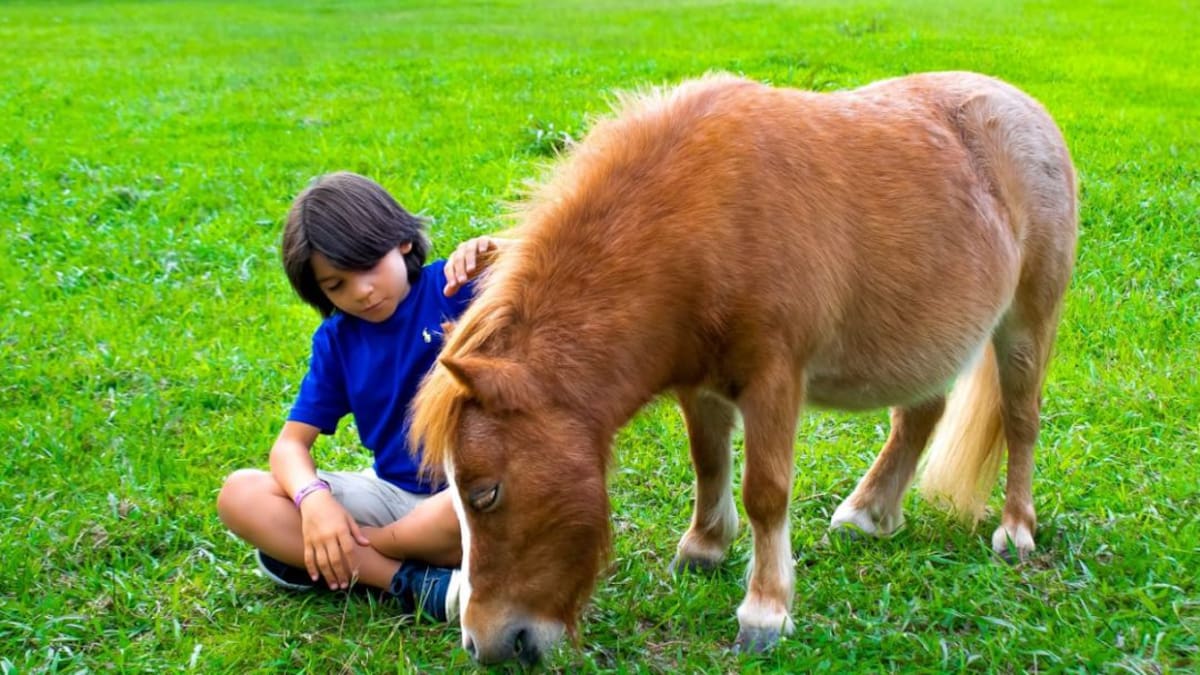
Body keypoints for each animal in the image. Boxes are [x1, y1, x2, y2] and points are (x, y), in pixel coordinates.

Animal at [410, 71, 1078, 665]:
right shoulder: (700, 384)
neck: (702, 222)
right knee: (921, 413)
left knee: (1021, 420)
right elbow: (709, 464)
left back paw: (1016, 530)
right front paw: (705, 548)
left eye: (486, 493)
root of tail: (1026, 109)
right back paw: (868, 513)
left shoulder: (774, 379)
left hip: (1026, 321)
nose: (483, 645)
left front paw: (765, 611)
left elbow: (765, 491)